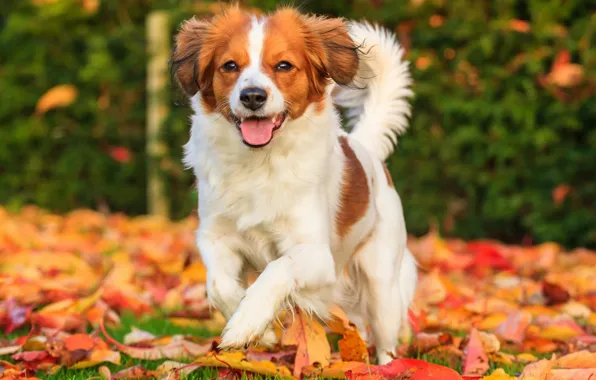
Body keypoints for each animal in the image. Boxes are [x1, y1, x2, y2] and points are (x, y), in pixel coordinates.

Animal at [170, 5, 416, 362]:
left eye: (283, 65)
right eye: (230, 65)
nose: (252, 96)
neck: (259, 163)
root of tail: (365, 145)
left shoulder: (317, 255)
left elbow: (279, 268)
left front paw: (247, 322)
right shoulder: (215, 237)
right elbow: (218, 286)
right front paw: (261, 332)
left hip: (382, 285)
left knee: (386, 342)